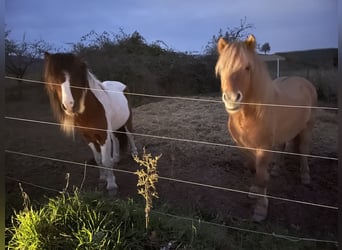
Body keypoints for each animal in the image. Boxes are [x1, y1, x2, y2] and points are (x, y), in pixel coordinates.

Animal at [43, 51, 138, 194]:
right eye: (54, 78)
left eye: (76, 77)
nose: (69, 106)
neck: (92, 110)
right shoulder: (88, 137)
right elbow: (98, 160)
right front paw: (103, 179)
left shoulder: (103, 136)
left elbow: (105, 160)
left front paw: (111, 186)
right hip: (113, 126)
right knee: (116, 139)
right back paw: (116, 158)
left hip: (127, 121)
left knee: (130, 135)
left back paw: (135, 154)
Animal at [215, 34, 316, 221]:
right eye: (221, 69)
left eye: (247, 67)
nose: (232, 99)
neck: (250, 113)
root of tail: (304, 82)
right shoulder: (242, 145)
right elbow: (254, 169)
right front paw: (255, 190)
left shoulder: (264, 148)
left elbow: (262, 176)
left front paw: (261, 209)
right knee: (283, 146)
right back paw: (276, 169)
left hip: (307, 127)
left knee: (304, 150)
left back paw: (305, 176)